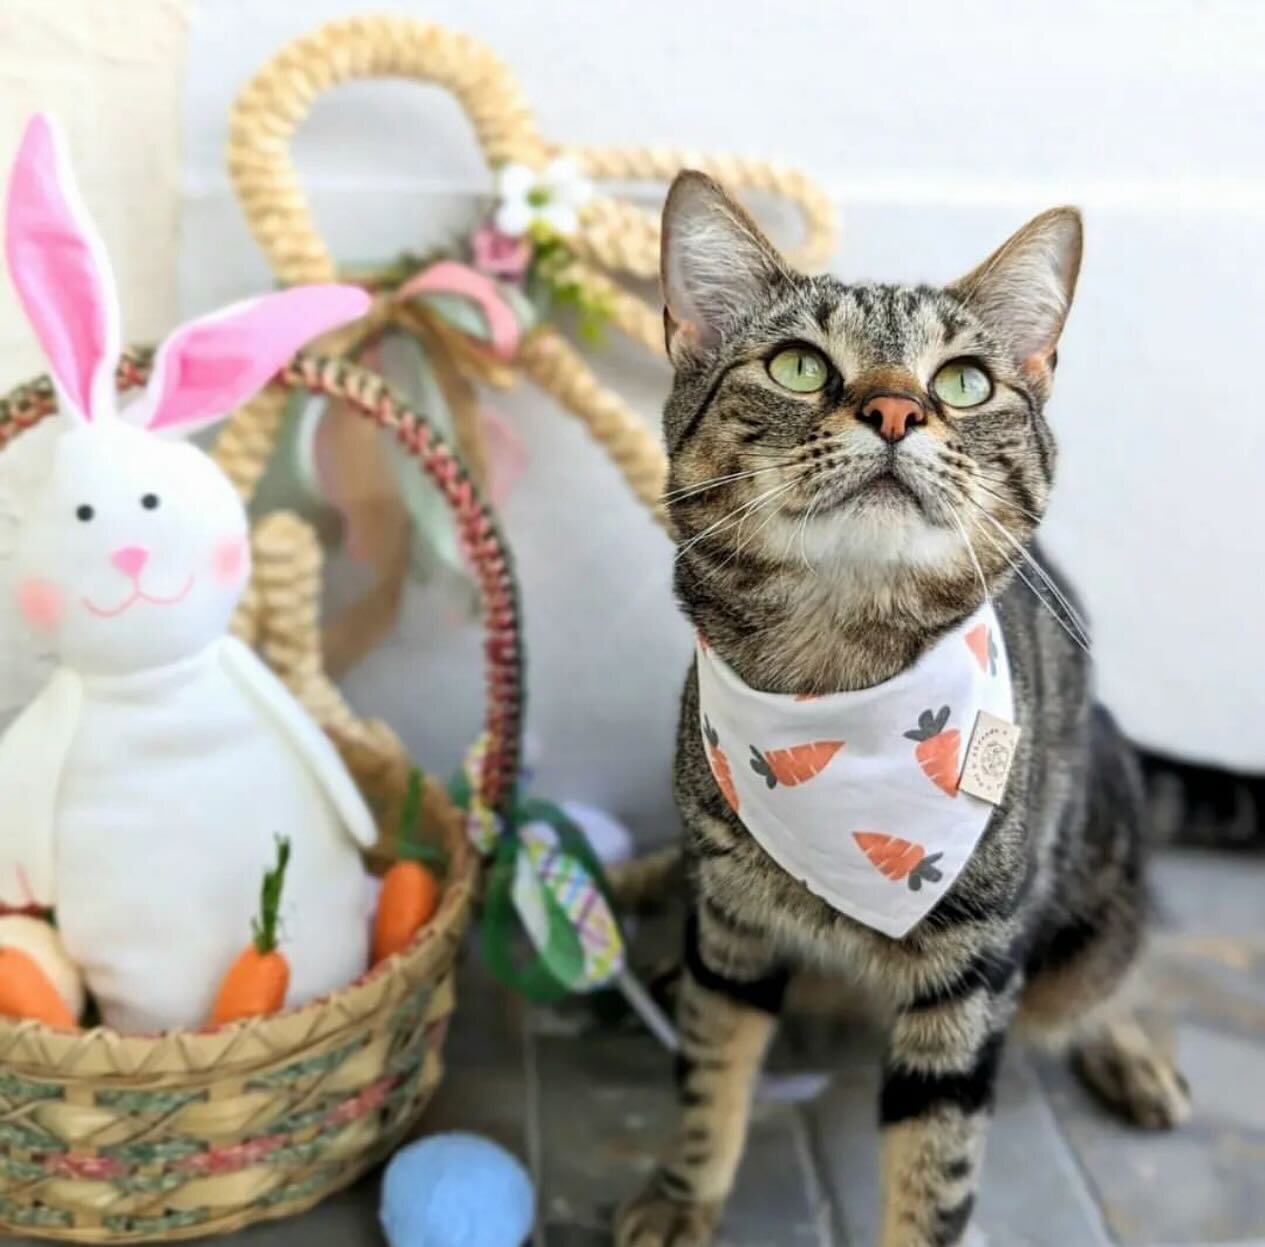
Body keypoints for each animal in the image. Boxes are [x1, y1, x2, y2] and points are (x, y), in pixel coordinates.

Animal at [614, 172, 1204, 1244]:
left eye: (964, 381)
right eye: (799, 365)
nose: (892, 407)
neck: (839, 681)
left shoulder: (969, 976)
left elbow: (935, 1170)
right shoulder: (732, 923)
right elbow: (711, 1070)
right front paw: (684, 1191)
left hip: (1088, 901)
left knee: (1115, 968)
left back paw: (1128, 1045)